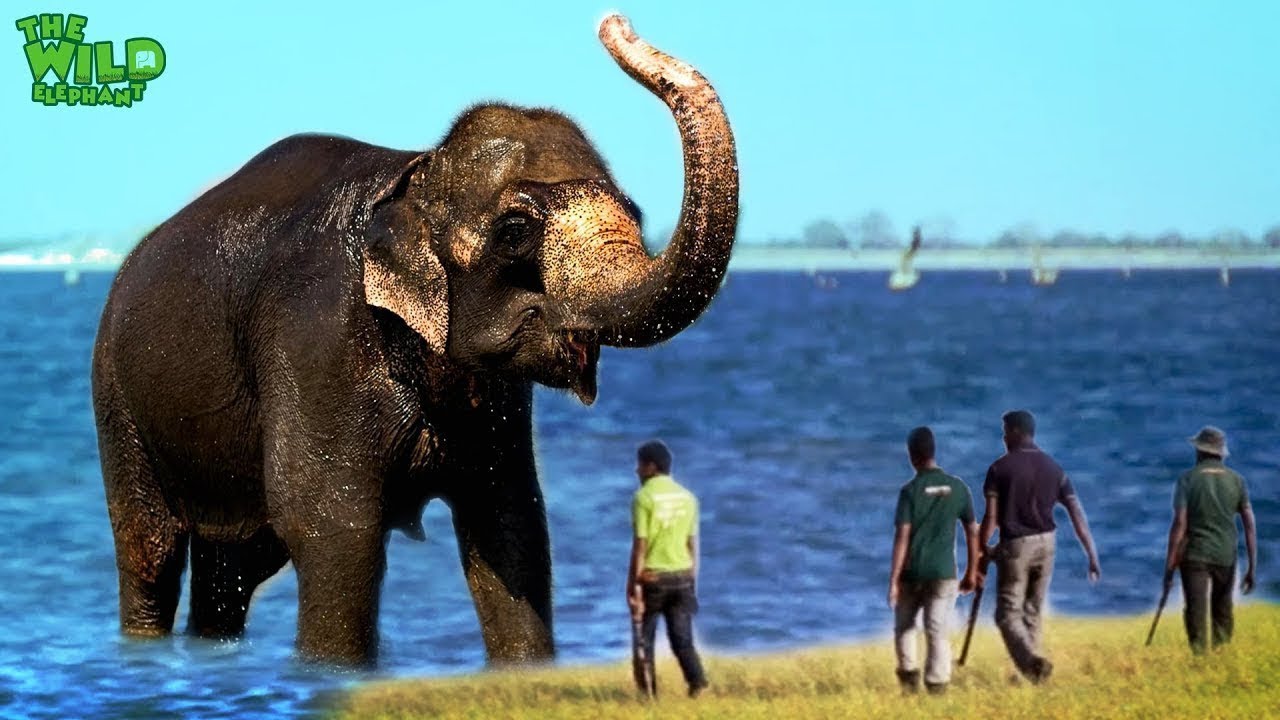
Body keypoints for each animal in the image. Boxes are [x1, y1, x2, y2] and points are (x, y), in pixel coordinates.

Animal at [90, 15, 737, 666]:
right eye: (516, 231)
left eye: (635, 211)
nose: (613, 22)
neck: (416, 173)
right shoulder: (316, 344)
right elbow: (334, 528)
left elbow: (511, 524)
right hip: (116, 400)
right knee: (151, 554)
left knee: (232, 570)